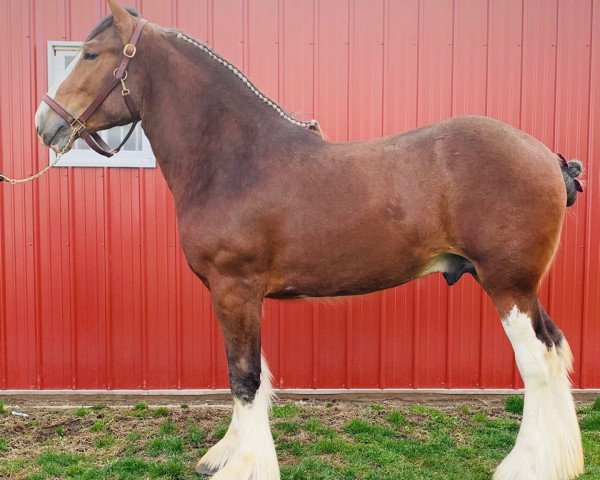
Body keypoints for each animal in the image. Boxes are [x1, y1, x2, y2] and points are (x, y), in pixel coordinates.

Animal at [32, 1, 584, 478]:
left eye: (90, 54)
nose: (45, 124)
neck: (235, 159)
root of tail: (548, 158)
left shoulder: (234, 288)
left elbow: (244, 377)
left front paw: (245, 467)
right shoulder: (240, 295)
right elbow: (250, 373)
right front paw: (226, 455)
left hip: (507, 284)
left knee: (536, 363)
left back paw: (524, 466)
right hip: (521, 288)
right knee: (554, 347)